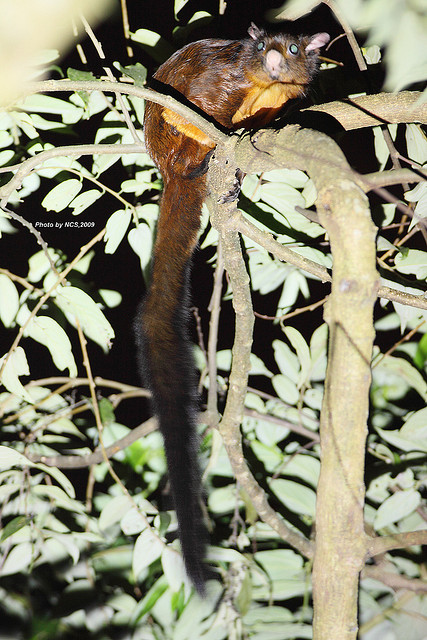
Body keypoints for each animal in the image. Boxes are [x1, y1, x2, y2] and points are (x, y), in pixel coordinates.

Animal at [136, 23, 330, 595]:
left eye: (294, 49)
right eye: (264, 44)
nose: (273, 57)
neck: (262, 87)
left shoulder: (283, 96)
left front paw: (258, 135)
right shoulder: (221, 79)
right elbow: (204, 100)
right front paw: (227, 132)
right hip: (172, 139)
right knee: (186, 133)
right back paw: (202, 157)